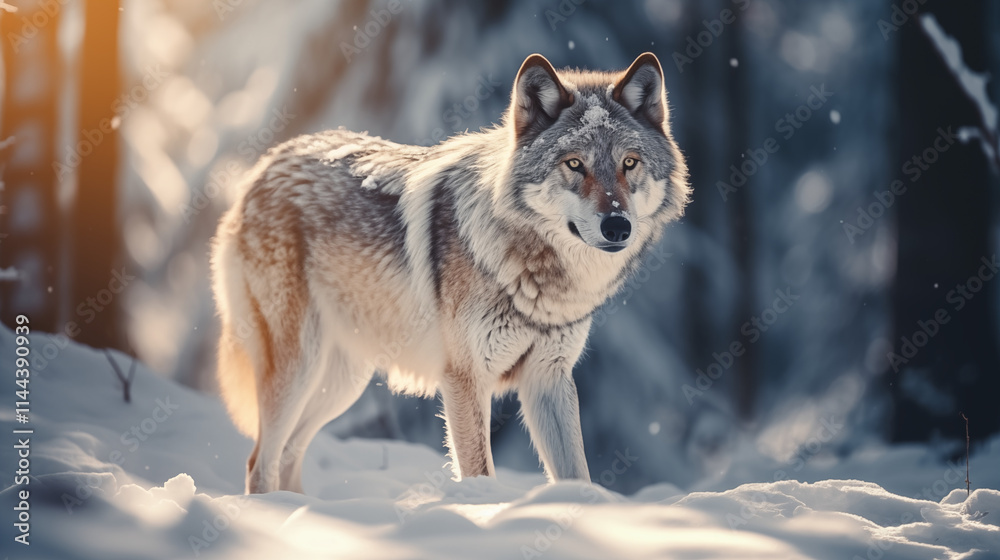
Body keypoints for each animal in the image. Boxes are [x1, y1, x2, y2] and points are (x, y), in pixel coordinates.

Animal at [211, 52, 689, 494]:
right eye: (574, 164)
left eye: (629, 163)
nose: (617, 226)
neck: (537, 277)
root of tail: (266, 164)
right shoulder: (465, 378)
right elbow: (479, 474)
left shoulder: (548, 379)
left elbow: (577, 474)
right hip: (300, 367)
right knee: (260, 461)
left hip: (342, 381)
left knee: (290, 454)